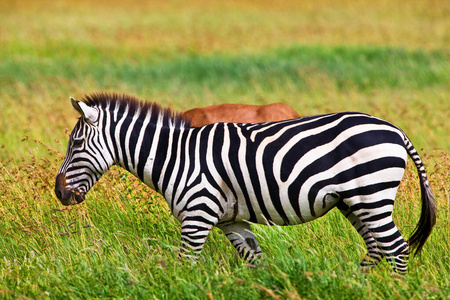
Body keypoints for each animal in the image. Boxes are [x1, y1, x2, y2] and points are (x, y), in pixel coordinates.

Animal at [53, 92, 436, 274]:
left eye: (76, 144)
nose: (59, 192)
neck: (175, 156)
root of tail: (395, 129)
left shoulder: (197, 216)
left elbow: (185, 264)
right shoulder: (231, 221)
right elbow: (256, 262)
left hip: (372, 194)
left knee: (397, 248)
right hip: (354, 202)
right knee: (377, 248)